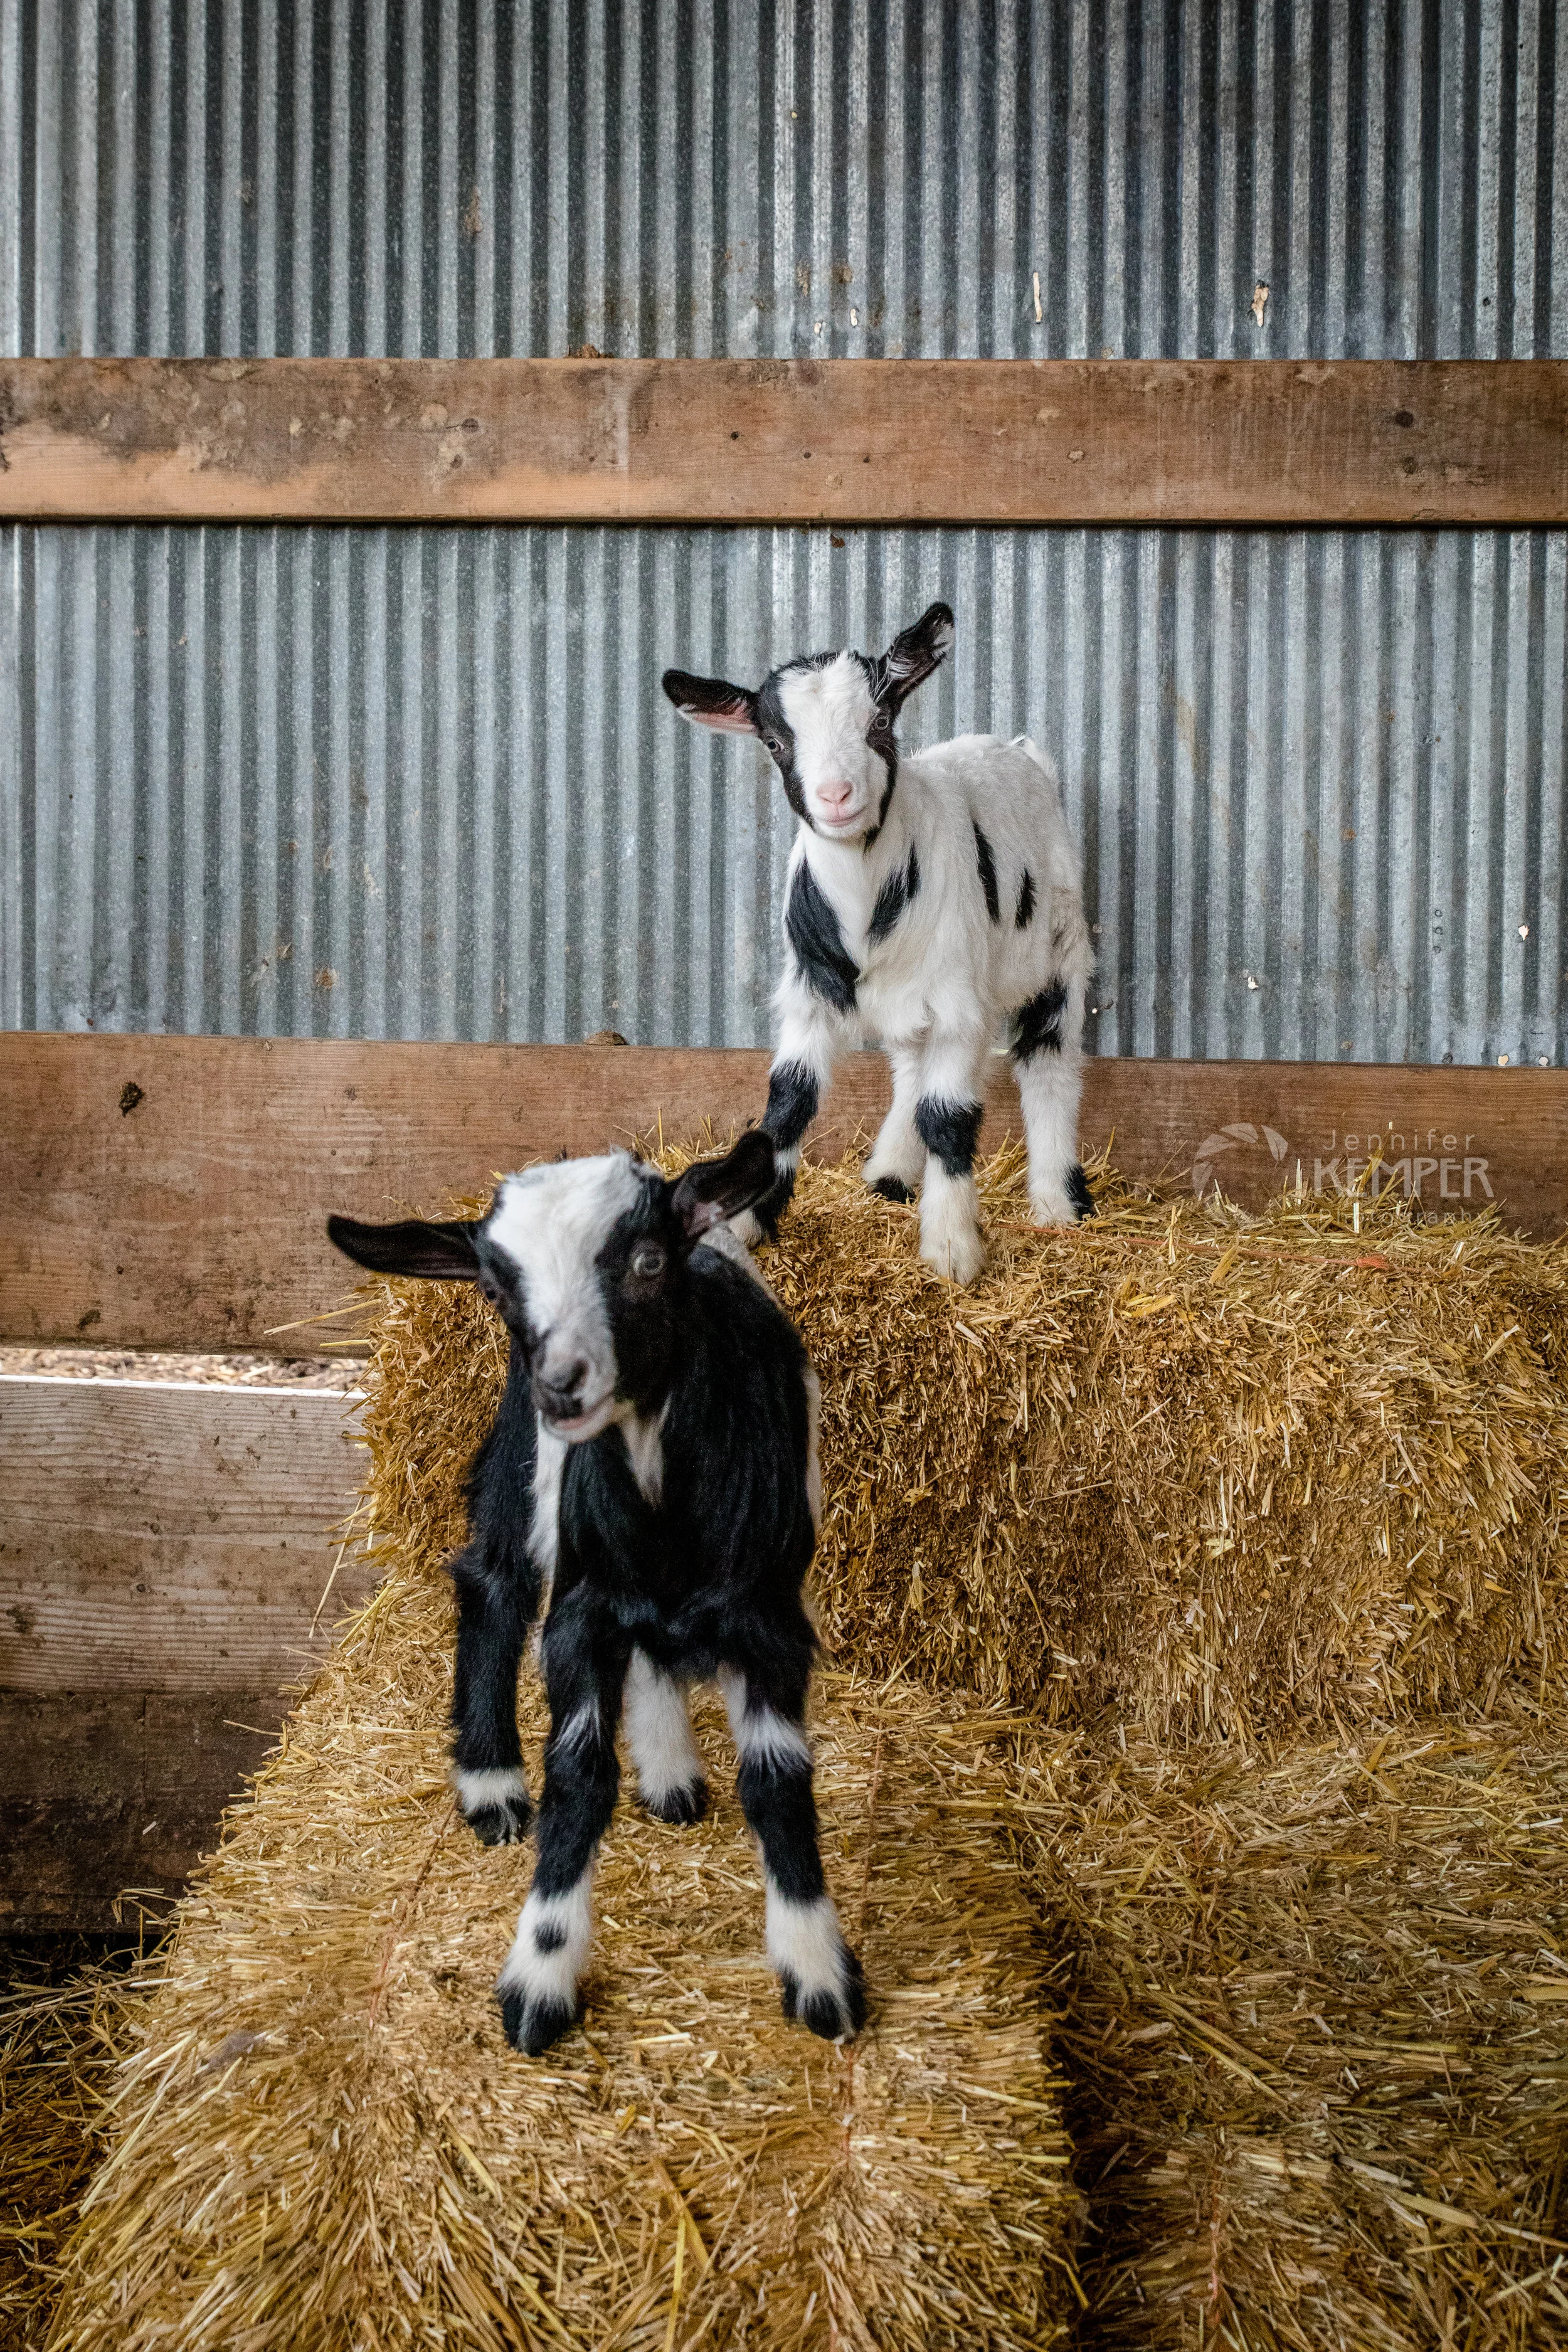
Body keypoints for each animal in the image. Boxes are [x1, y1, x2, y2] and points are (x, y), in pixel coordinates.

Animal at [326, 1132, 866, 2057]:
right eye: (497, 1287)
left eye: (647, 1260)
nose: (564, 1382)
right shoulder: (579, 1615)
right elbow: (578, 1775)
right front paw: (540, 1979)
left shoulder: (767, 1621)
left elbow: (777, 1781)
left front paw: (817, 1971)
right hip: (523, 1453)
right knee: (493, 1580)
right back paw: (492, 1783)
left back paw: (670, 1768)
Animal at [663, 602, 1094, 1283]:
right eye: (774, 743)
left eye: (881, 721)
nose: (835, 796)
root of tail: (1018, 749)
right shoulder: (809, 996)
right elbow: (789, 1100)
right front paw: (748, 1219)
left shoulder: (957, 1003)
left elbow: (949, 1117)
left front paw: (950, 1248)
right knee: (911, 1068)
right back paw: (890, 1173)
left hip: (1059, 943)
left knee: (1049, 1060)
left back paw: (1056, 1202)